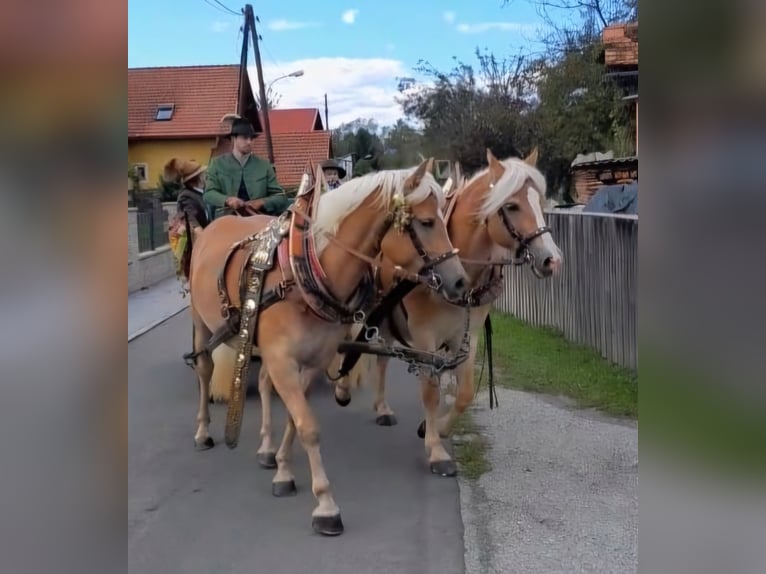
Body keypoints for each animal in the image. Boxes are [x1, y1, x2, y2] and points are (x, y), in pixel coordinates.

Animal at [189, 160, 472, 536]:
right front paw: (325, 505)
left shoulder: (309, 362)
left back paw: (266, 448)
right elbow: (308, 426)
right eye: (427, 222)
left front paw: (283, 469)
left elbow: (296, 419)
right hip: (201, 324)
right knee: (205, 369)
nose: (460, 281)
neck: (306, 271)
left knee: (262, 383)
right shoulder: (283, 360)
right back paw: (203, 431)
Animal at [330, 147, 564, 476]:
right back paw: (342, 388)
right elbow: (430, 391)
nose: (552, 260)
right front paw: (436, 451)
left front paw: (437, 428)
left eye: (540, 203)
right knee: (350, 339)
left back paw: (382, 407)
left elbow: (464, 393)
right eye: (512, 206)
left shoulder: (467, 337)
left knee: (382, 356)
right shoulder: (425, 338)